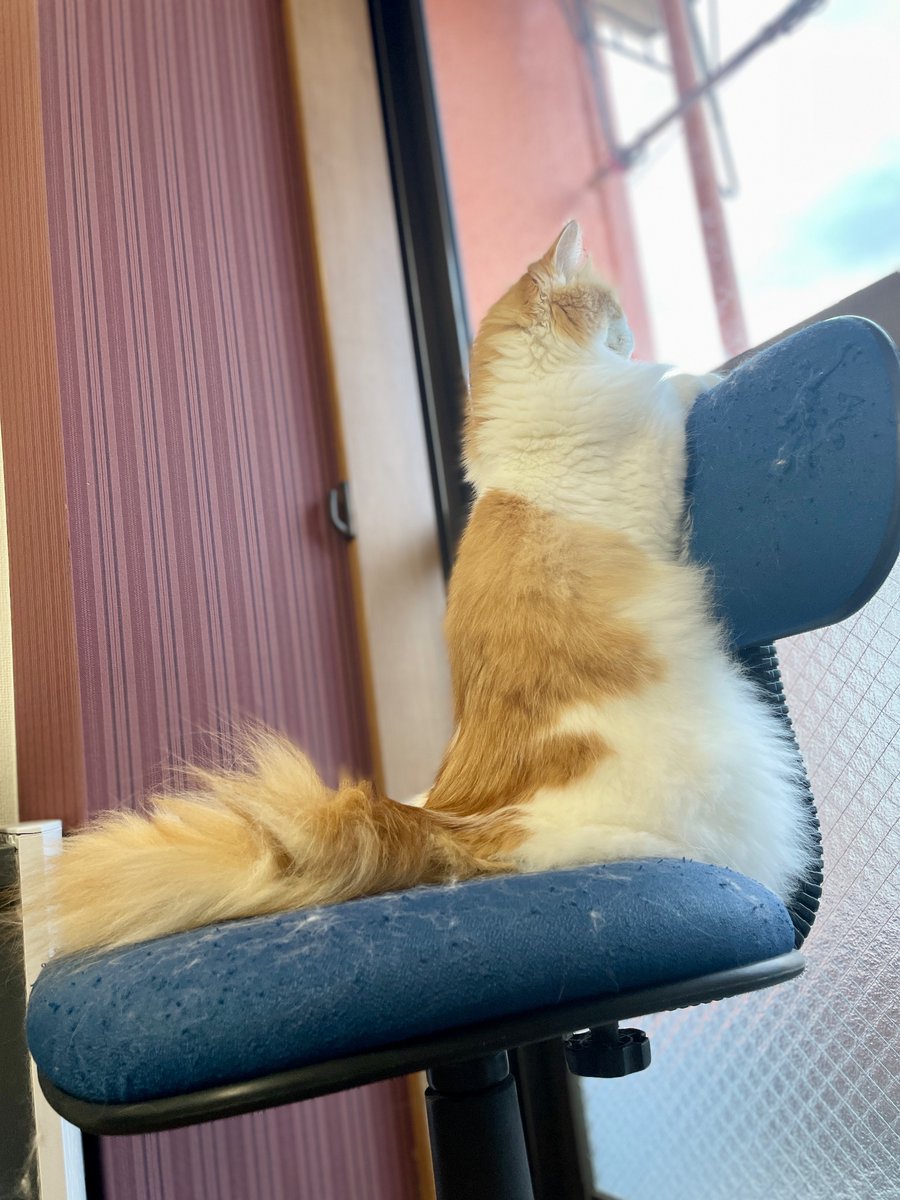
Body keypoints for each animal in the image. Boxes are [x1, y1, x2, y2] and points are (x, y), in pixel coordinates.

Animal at [49, 220, 814, 955]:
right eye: (613, 308)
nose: (627, 336)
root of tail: (450, 821)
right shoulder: (646, 442)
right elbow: (677, 387)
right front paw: (704, 374)